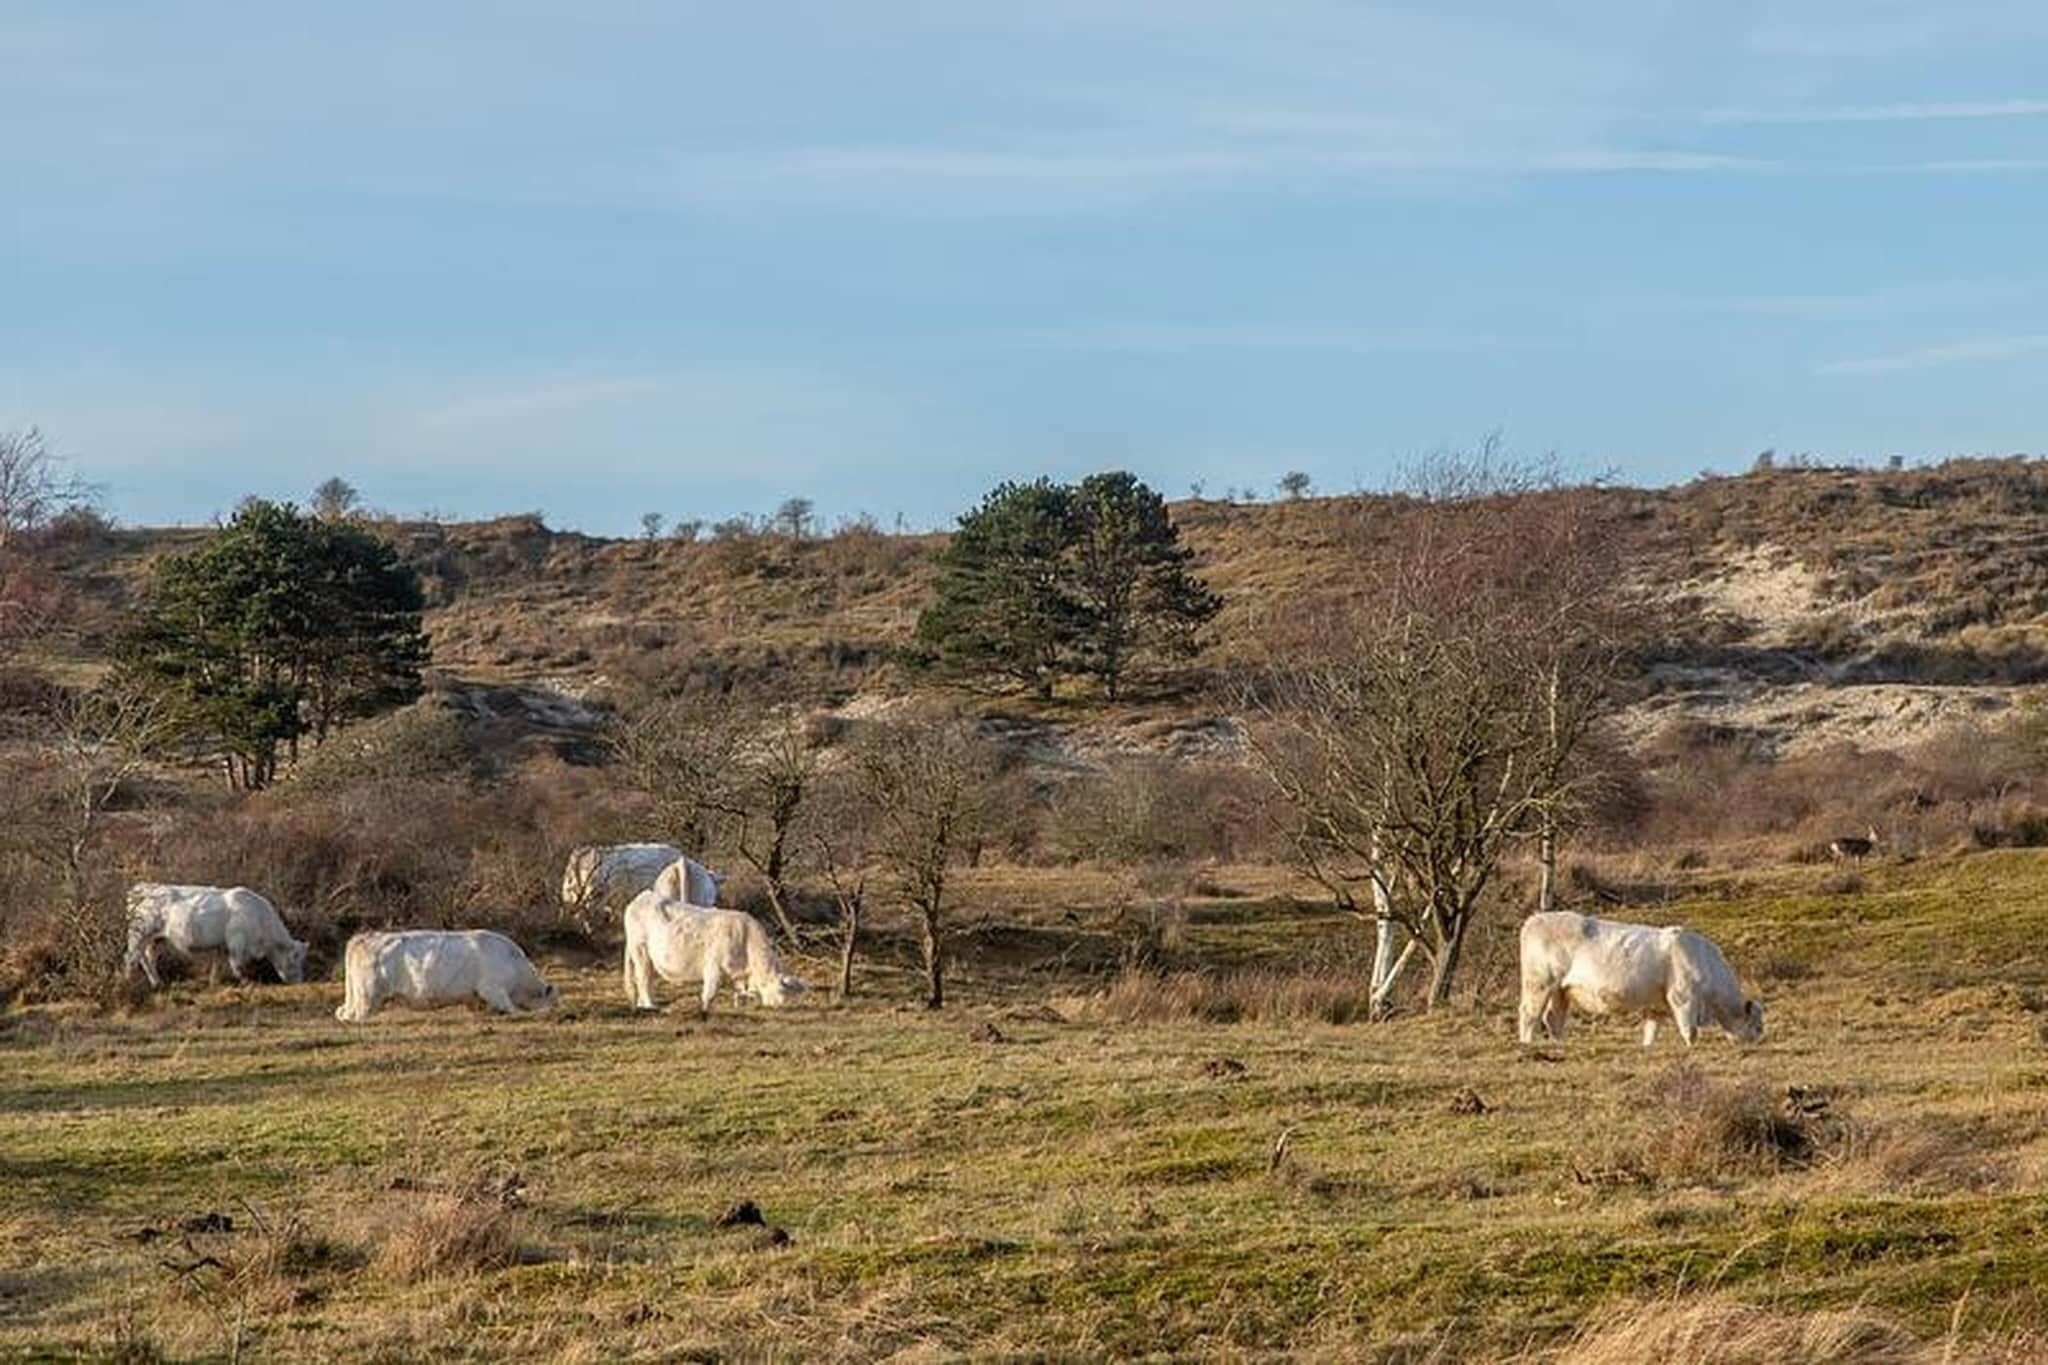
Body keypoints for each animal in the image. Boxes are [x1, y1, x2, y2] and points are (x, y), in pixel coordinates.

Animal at [125, 884, 308, 989]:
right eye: (294, 959)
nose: (299, 981)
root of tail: (145, 889)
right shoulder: (237, 944)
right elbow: (237, 965)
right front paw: (247, 982)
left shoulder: (220, 946)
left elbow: (217, 965)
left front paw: (214, 982)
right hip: (139, 934)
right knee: (131, 957)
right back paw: (127, 982)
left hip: (156, 940)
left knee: (148, 958)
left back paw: (157, 983)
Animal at [621, 890, 805, 1014]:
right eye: (780, 992)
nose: (779, 1008)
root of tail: (642, 897)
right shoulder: (714, 967)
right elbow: (709, 993)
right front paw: (704, 1011)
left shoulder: (738, 974)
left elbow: (740, 993)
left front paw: (740, 1006)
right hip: (640, 950)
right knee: (643, 980)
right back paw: (650, 1006)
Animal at [1518, 911, 1763, 1048]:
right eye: (1757, 1026)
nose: (1756, 1045)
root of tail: (1535, 918)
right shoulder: (1683, 997)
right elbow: (1690, 1031)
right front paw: (1690, 1047)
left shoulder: (1657, 1006)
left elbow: (1651, 1030)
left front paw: (1647, 1047)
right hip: (1539, 983)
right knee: (1530, 1014)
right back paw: (1527, 1043)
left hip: (1560, 991)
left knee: (1553, 1018)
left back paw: (1560, 1045)